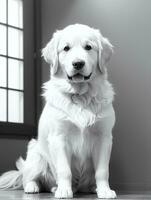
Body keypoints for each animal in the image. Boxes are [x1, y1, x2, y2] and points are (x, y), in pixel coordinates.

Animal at [0, 23, 116, 198]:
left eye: (88, 47)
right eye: (66, 48)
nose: (78, 63)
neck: (80, 95)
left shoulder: (103, 137)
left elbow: (102, 171)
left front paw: (104, 191)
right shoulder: (59, 137)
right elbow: (64, 170)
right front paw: (64, 190)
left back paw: (88, 188)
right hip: (36, 153)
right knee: (30, 178)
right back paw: (36, 187)